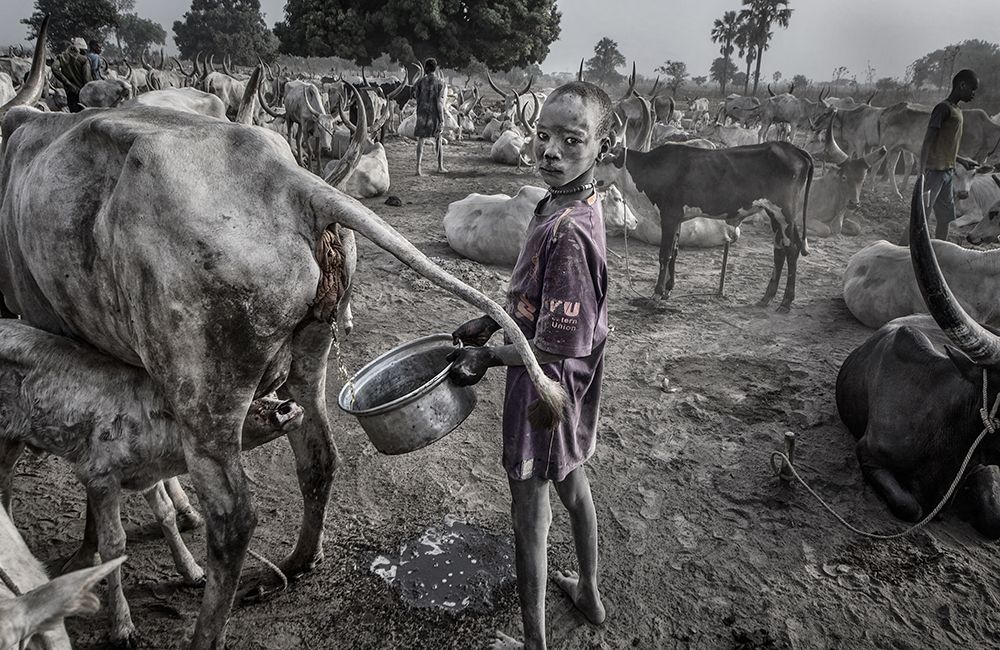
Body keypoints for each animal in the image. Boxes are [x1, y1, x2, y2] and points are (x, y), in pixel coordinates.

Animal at [592, 139, 812, 308]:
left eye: (598, 161)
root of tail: (792, 149)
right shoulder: (678, 219)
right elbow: (674, 252)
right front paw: (668, 290)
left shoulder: (669, 216)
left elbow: (664, 255)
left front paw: (656, 294)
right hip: (774, 214)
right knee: (780, 250)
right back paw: (767, 298)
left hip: (785, 213)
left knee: (792, 249)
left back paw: (786, 301)